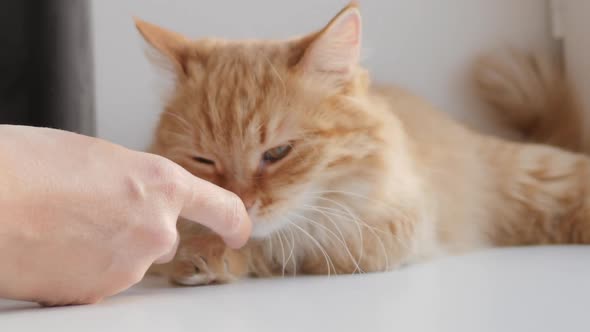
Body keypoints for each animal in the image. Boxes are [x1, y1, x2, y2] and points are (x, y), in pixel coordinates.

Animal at [136, 3, 590, 286]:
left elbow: (297, 247)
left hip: (538, 177)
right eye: (203, 160)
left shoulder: (392, 228)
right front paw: (208, 255)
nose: (241, 203)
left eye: (278, 153)